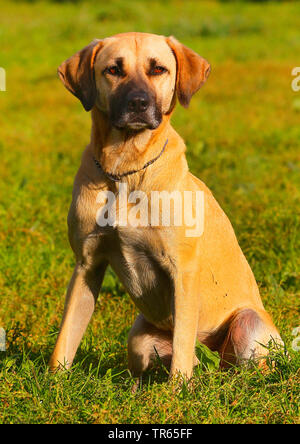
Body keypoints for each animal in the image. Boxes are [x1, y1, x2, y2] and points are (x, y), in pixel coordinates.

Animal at [48, 31, 282, 380]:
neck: (127, 171)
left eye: (158, 69)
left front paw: (177, 391)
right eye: (113, 70)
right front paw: (53, 384)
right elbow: (65, 338)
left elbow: (182, 350)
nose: (138, 104)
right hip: (140, 337)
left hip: (248, 325)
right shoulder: (86, 264)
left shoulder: (181, 271)